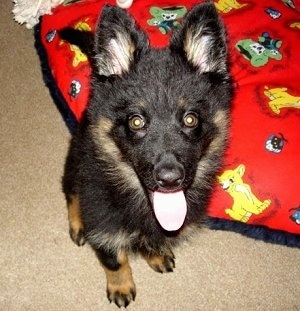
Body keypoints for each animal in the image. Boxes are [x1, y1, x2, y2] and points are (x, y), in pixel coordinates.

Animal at [61, 2, 233, 308]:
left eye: (191, 119)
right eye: (136, 121)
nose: (170, 179)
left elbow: (155, 238)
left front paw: (156, 254)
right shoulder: (103, 221)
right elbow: (114, 260)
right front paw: (120, 286)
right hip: (76, 159)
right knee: (70, 191)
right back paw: (78, 222)